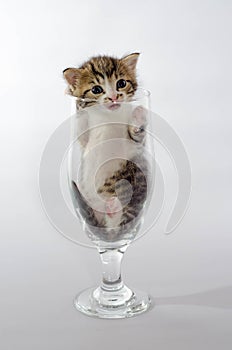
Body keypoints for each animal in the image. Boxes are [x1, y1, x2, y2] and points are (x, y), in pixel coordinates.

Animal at [63, 53, 149, 241]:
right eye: (96, 89)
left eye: (121, 83)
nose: (114, 97)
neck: (109, 118)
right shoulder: (85, 141)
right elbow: (81, 130)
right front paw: (77, 102)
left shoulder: (136, 146)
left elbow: (137, 136)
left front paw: (139, 116)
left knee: (118, 224)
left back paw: (114, 207)